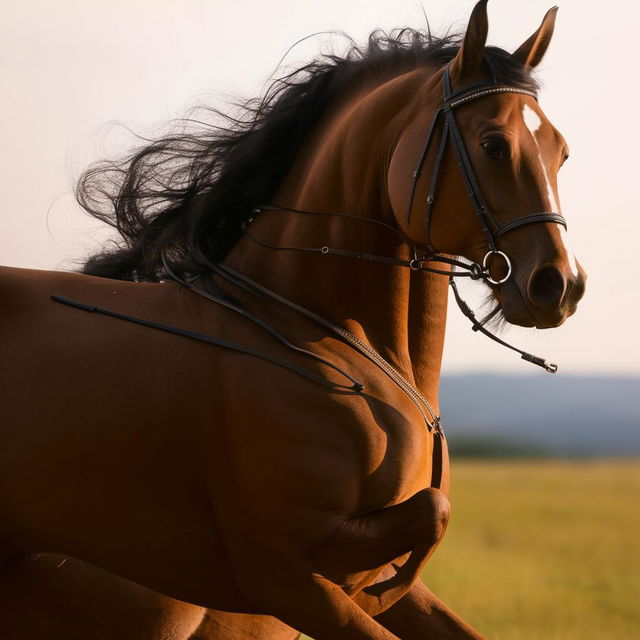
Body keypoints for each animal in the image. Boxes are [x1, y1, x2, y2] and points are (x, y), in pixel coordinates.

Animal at [0, 1, 584, 636]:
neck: (320, 331)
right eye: (493, 144)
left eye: (561, 151)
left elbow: (430, 533)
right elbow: (431, 513)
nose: (559, 285)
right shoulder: (282, 575)